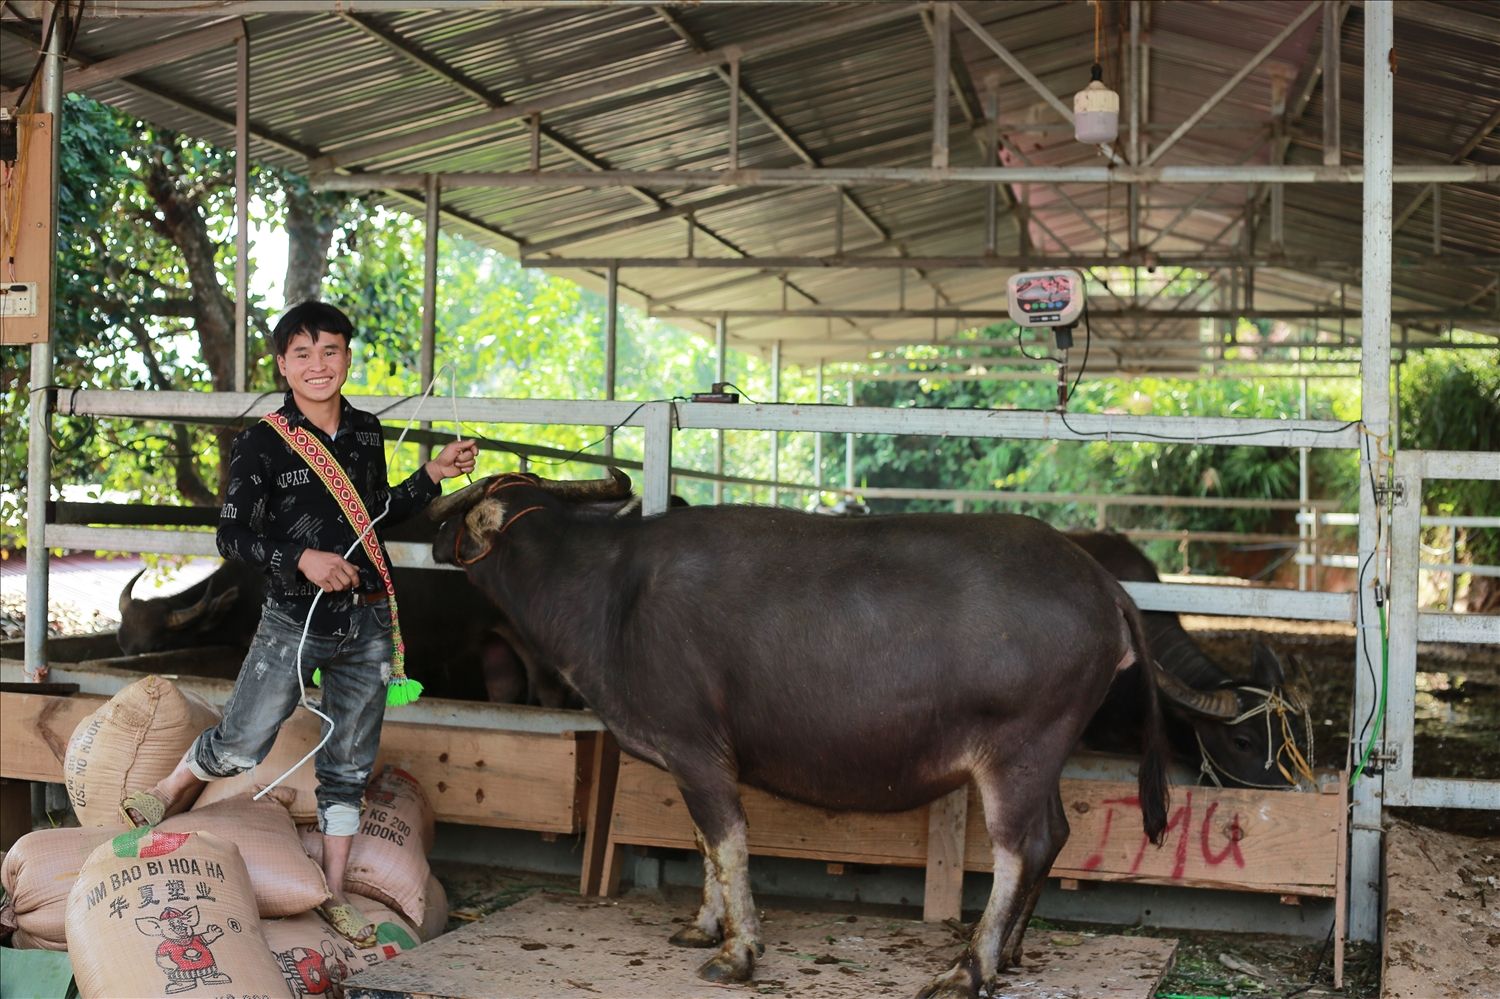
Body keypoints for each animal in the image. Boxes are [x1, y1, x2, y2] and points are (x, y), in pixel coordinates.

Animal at [426, 468, 1170, 996]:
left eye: (461, 516)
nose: (431, 538)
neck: (609, 595)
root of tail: (1103, 584)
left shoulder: (695, 748)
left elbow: (727, 839)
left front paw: (737, 951)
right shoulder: (695, 761)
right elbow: (702, 843)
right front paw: (703, 926)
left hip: (1019, 751)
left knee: (1024, 845)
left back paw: (970, 968)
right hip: (1046, 755)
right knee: (1057, 835)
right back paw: (1011, 951)